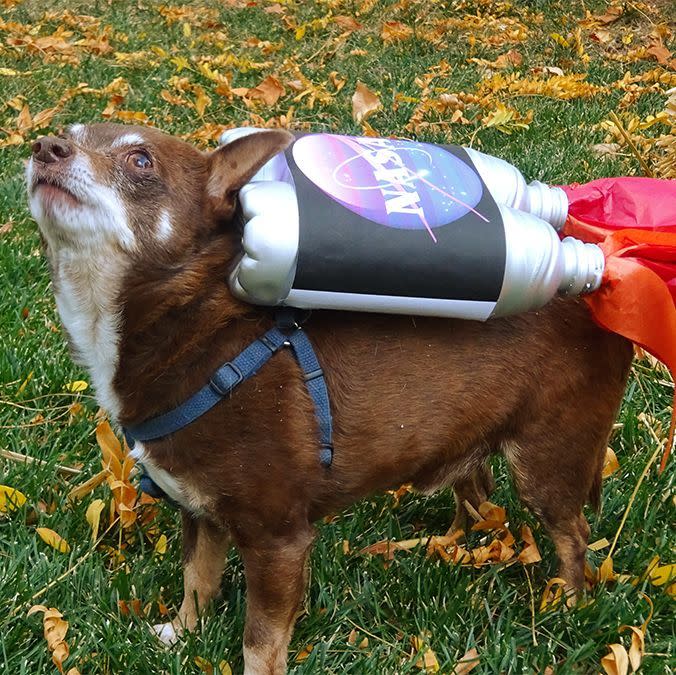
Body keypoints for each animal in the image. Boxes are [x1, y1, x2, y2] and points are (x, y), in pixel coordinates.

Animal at [27, 124, 632, 672]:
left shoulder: (279, 541)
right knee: (478, 494)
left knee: (572, 534)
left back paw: (567, 608)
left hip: (548, 459)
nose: (44, 146)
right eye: (68, 134)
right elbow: (198, 579)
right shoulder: (201, 515)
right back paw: (459, 548)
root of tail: (598, 282)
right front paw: (182, 633)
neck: (198, 328)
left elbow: (260, 642)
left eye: (141, 161)